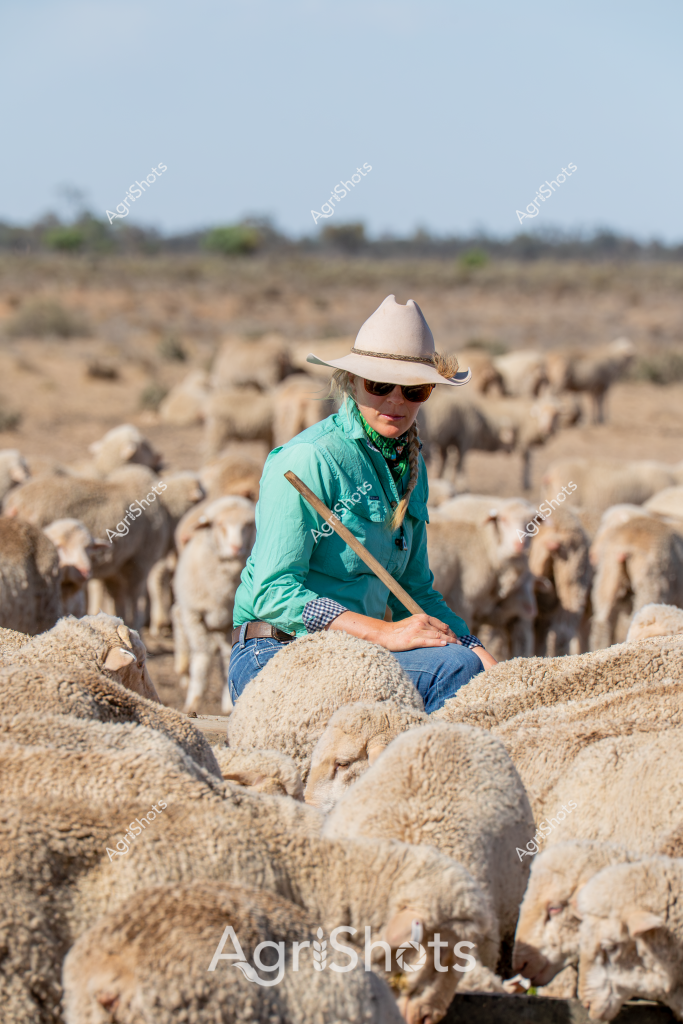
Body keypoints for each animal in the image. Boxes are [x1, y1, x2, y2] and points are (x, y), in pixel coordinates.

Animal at [172, 496, 256, 713]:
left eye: (248, 524)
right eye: (219, 525)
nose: (236, 548)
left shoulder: (228, 623)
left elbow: (227, 656)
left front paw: (227, 704)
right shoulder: (195, 614)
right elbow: (202, 658)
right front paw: (193, 701)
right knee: (177, 618)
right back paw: (183, 670)